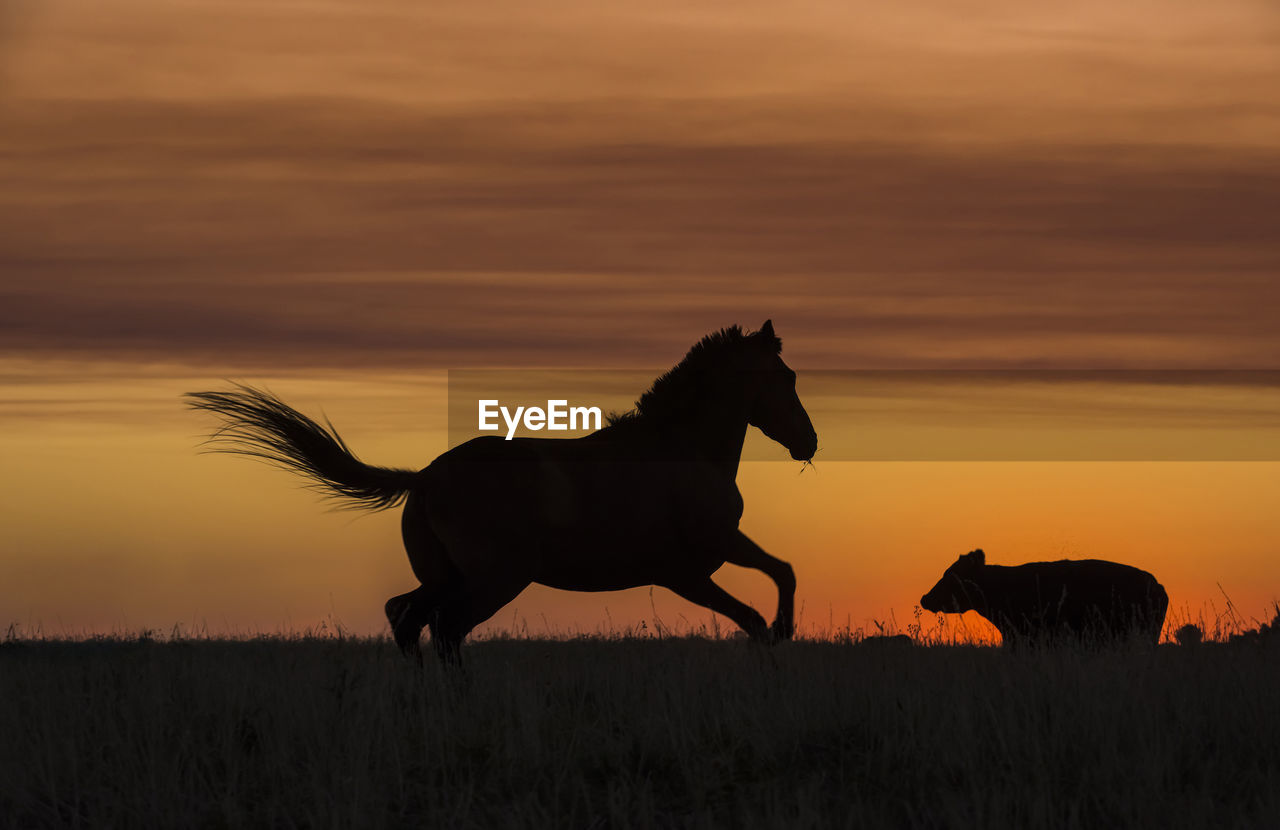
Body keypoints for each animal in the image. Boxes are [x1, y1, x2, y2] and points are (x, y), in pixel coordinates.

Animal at [185, 321, 814, 666]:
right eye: (785, 378)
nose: (809, 442)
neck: (679, 449)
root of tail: (425, 476)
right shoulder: (686, 571)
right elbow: (754, 618)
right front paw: (778, 643)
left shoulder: (721, 548)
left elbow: (781, 571)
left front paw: (787, 631)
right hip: (495, 579)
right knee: (445, 629)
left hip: (450, 575)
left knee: (406, 617)